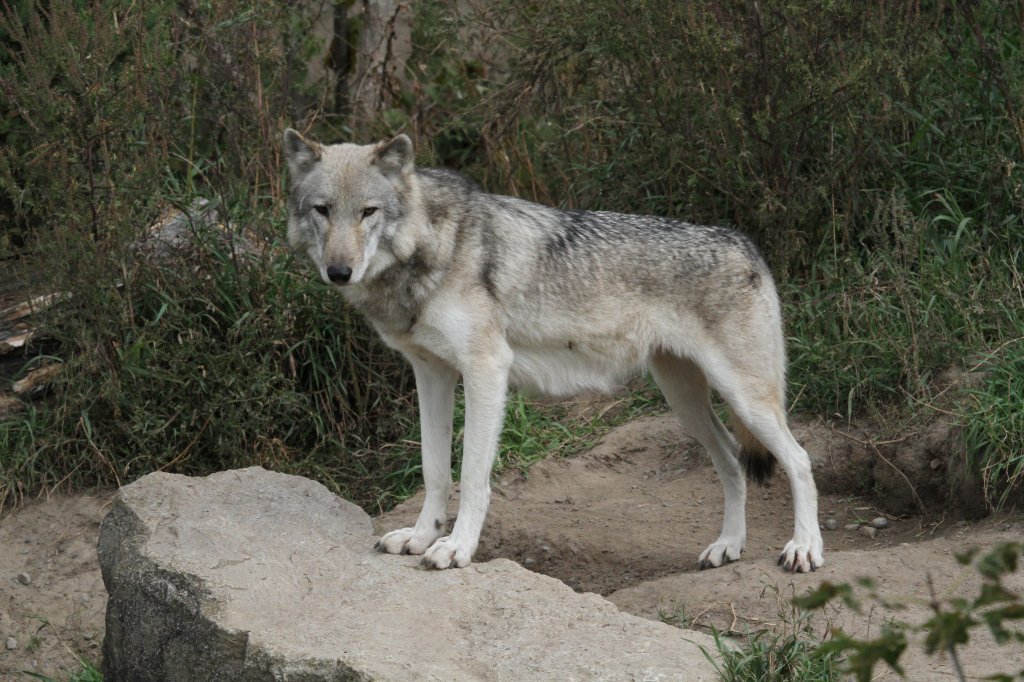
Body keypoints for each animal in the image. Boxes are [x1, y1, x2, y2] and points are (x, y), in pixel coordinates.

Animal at [284, 125, 827, 569]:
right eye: (323, 210)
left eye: (368, 212)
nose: (338, 271)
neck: (432, 248)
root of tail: (745, 244)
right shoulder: (432, 373)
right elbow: (434, 469)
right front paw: (420, 538)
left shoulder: (486, 370)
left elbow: (473, 475)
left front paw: (456, 548)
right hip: (686, 401)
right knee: (733, 459)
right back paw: (728, 546)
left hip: (743, 398)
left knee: (799, 460)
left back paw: (804, 549)